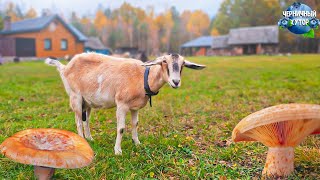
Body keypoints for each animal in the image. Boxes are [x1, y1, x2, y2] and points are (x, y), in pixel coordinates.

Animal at [45, 52, 205, 155]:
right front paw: (118, 151)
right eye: (164, 62)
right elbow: (121, 128)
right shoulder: (121, 104)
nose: (176, 82)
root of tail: (65, 68)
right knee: (78, 120)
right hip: (75, 96)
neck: (142, 77)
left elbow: (135, 124)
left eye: (183, 64)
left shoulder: (135, 107)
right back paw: (82, 141)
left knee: (86, 120)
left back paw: (90, 138)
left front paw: (137, 143)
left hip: (87, 101)